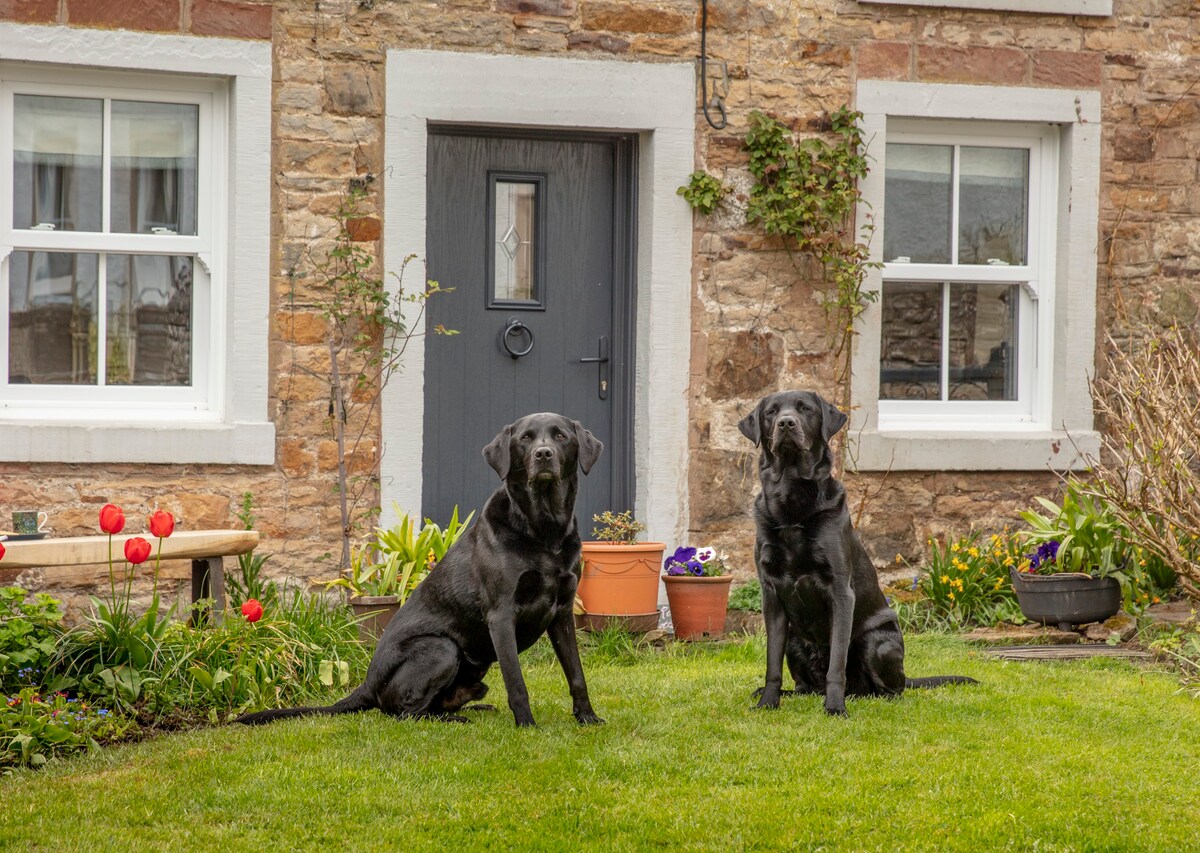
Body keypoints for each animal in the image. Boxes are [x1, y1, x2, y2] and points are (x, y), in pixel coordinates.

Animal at [237, 412, 604, 729]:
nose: (543, 454)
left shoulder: (562, 612)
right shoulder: (501, 615)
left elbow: (577, 673)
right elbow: (516, 681)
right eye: (526, 438)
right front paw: (526, 724)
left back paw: (470, 710)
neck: (543, 530)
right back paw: (455, 720)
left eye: (560, 436)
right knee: (406, 713)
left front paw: (587, 717)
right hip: (440, 648)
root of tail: (366, 685)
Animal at [729, 391, 974, 715]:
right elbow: (772, 664)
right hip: (795, 640)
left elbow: (837, 664)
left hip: (875, 642)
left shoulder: (841, 592)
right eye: (771, 412)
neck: (792, 495)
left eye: (805, 409)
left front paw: (835, 708)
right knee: (805, 686)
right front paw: (768, 702)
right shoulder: (771, 594)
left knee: (889, 690)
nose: (786, 423)